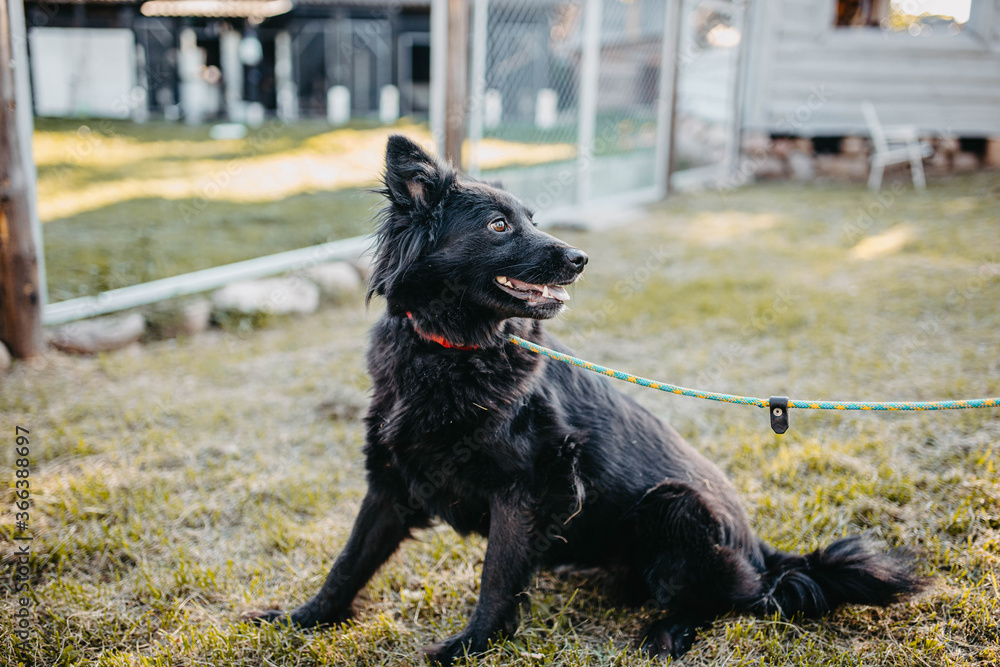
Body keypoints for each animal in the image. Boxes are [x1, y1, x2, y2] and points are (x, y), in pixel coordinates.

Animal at [254, 136, 924, 664]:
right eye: (499, 226)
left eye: (531, 218)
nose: (580, 258)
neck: (455, 351)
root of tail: (761, 550)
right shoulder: (393, 481)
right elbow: (348, 563)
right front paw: (302, 620)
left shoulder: (527, 488)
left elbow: (497, 578)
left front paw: (470, 648)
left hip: (678, 504)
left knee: (733, 600)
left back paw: (668, 632)